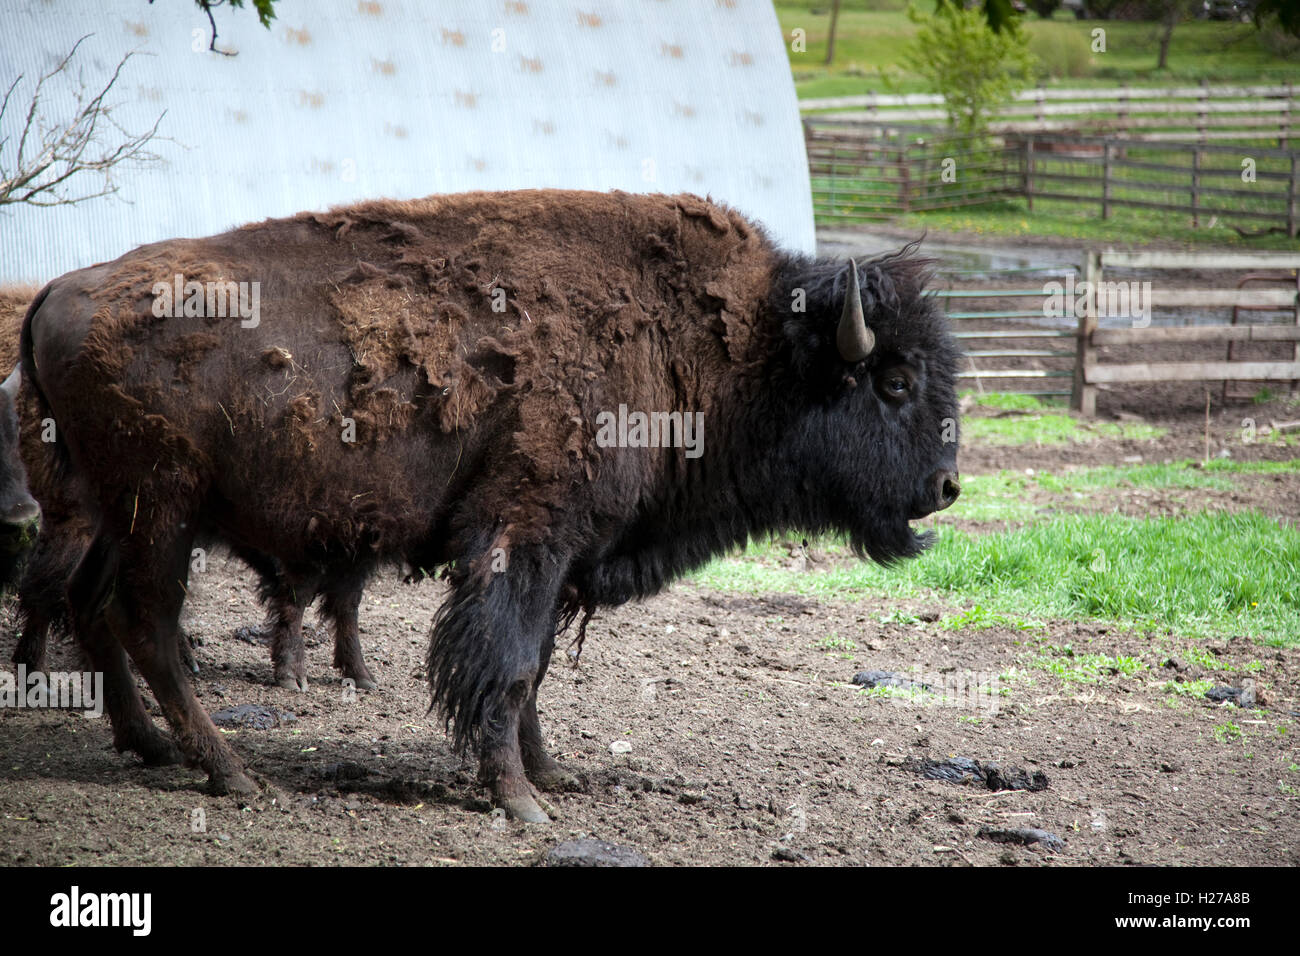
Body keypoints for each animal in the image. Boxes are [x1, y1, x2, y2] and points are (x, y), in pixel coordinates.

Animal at [23, 189, 961, 822]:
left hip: (105, 510)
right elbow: (506, 665)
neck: (733, 348)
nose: (947, 487)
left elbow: (534, 667)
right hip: (161, 510)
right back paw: (230, 771)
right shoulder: (525, 536)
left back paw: (147, 745)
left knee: (88, 604)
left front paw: (550, 775)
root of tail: (55, 294)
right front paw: (520, 801)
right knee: (146, 621)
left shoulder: (563, 556)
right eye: (896, 381)